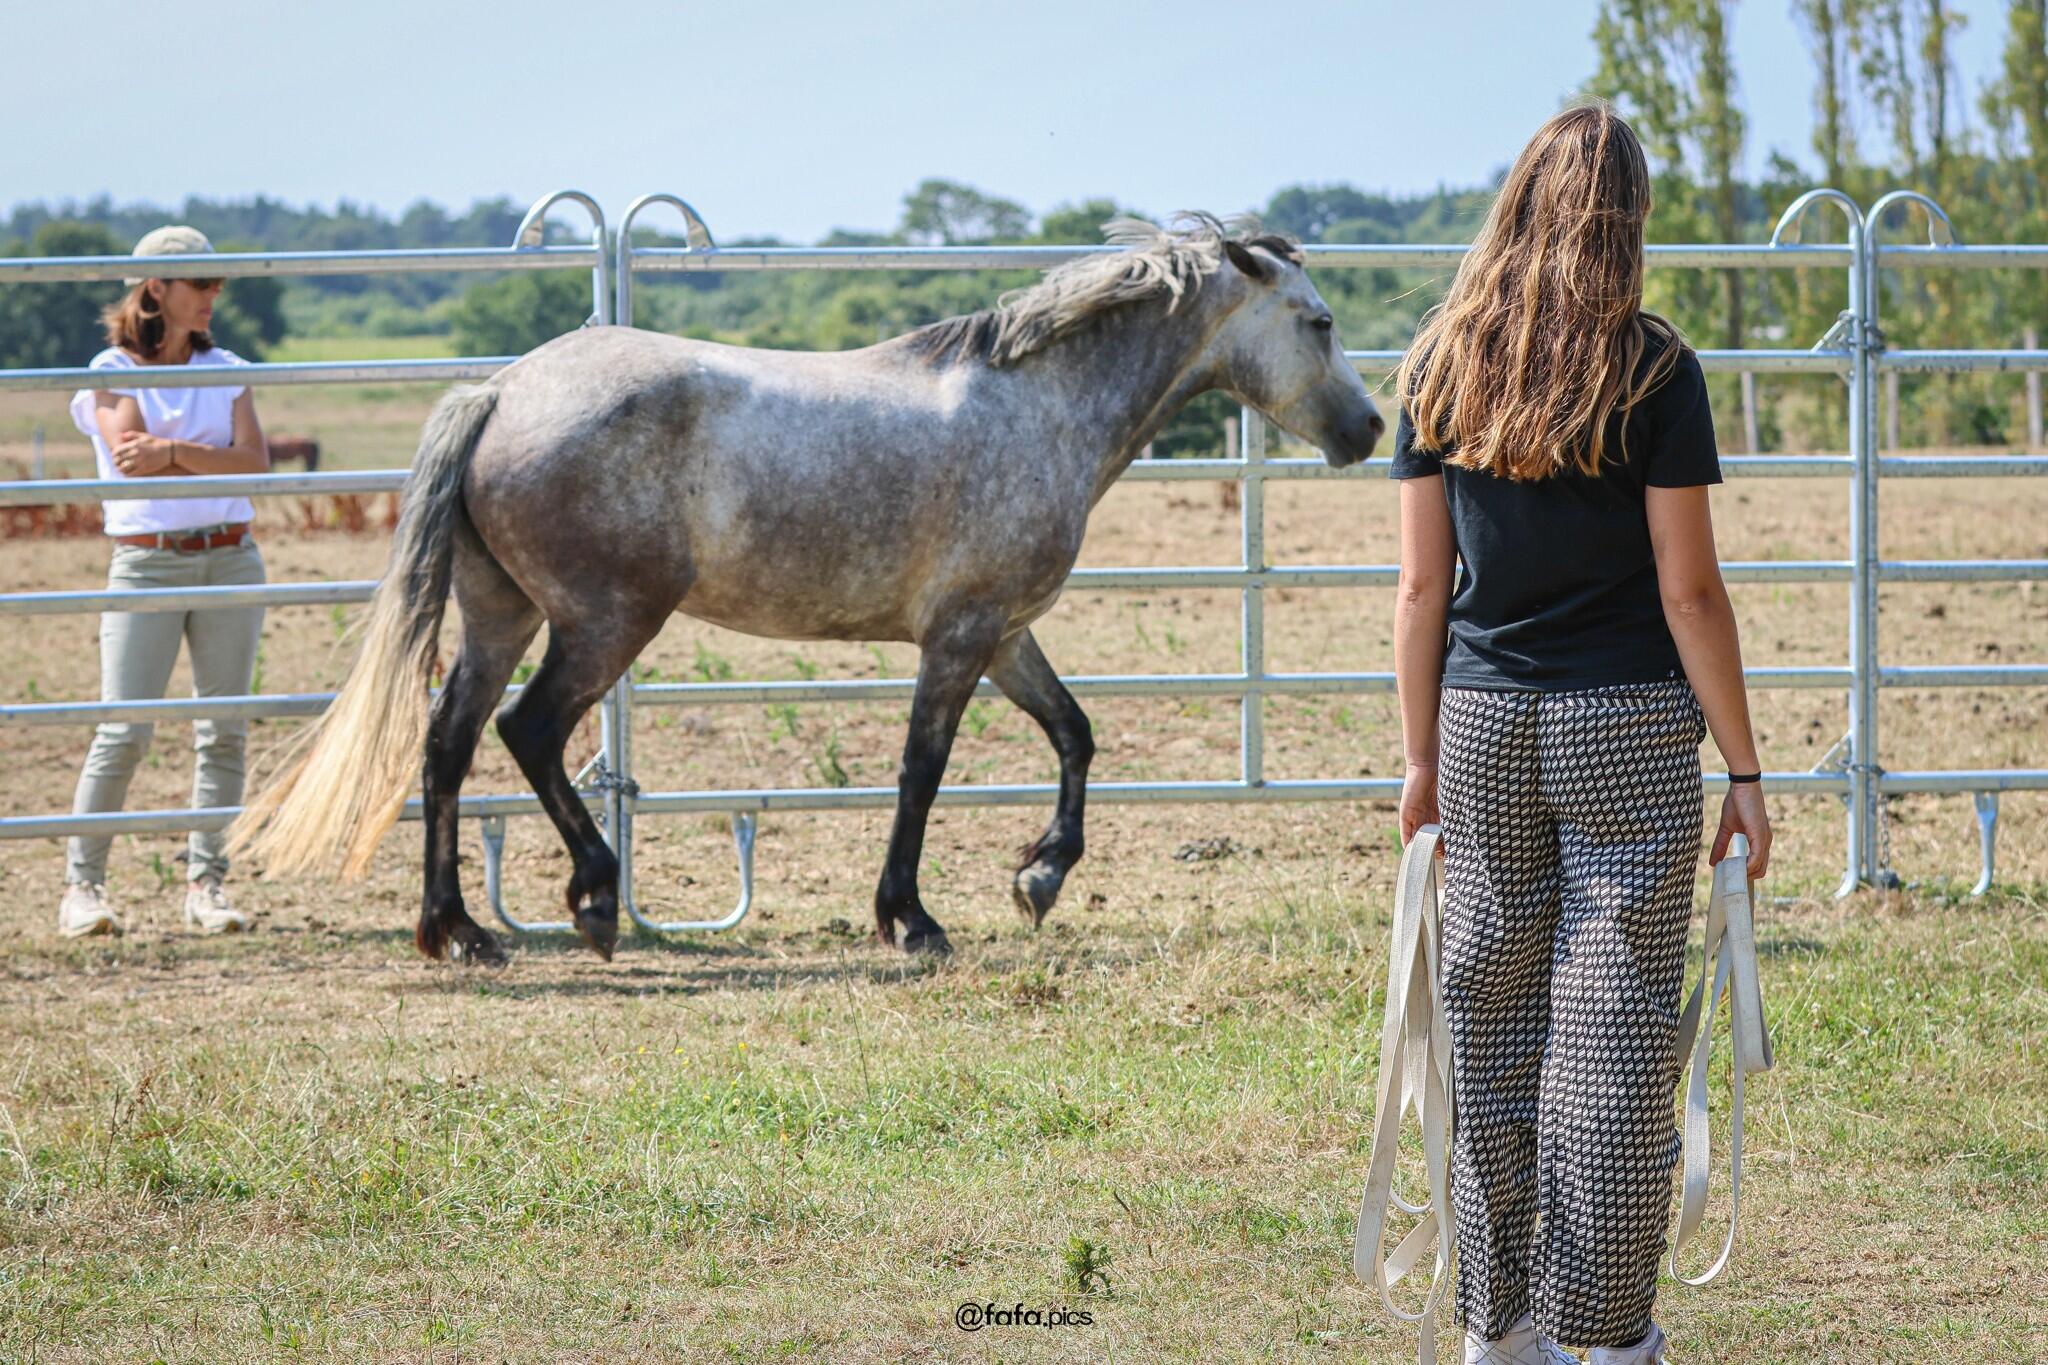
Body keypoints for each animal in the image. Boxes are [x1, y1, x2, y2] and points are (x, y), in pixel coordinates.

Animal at [229, 214, 1383, 965]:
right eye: (1318, 322)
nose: (1369, 431)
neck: (1038, 406)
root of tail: (503, 389)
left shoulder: (1003, 632)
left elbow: (1075, 733)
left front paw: (1039, 879)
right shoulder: (959, 637)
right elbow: (922, 770)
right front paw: (913, 920)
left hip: (500, 614)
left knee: (449, 743)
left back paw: (460, 933)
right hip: (605, 620)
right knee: (529, 730)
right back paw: (593, 900)